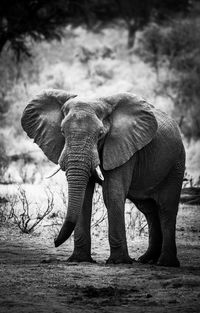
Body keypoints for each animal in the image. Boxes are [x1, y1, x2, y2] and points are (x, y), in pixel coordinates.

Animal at [21, 88, 185, 266]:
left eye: (100, 134)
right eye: (62, 132)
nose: (55, 242)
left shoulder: (123, 146)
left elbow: (112, 195)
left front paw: (119, 262)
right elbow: (85, 197)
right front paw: (79, 260)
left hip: (176, 163)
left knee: (166, 208)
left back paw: (166, 263)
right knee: (148, 209)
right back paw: (146, 259)